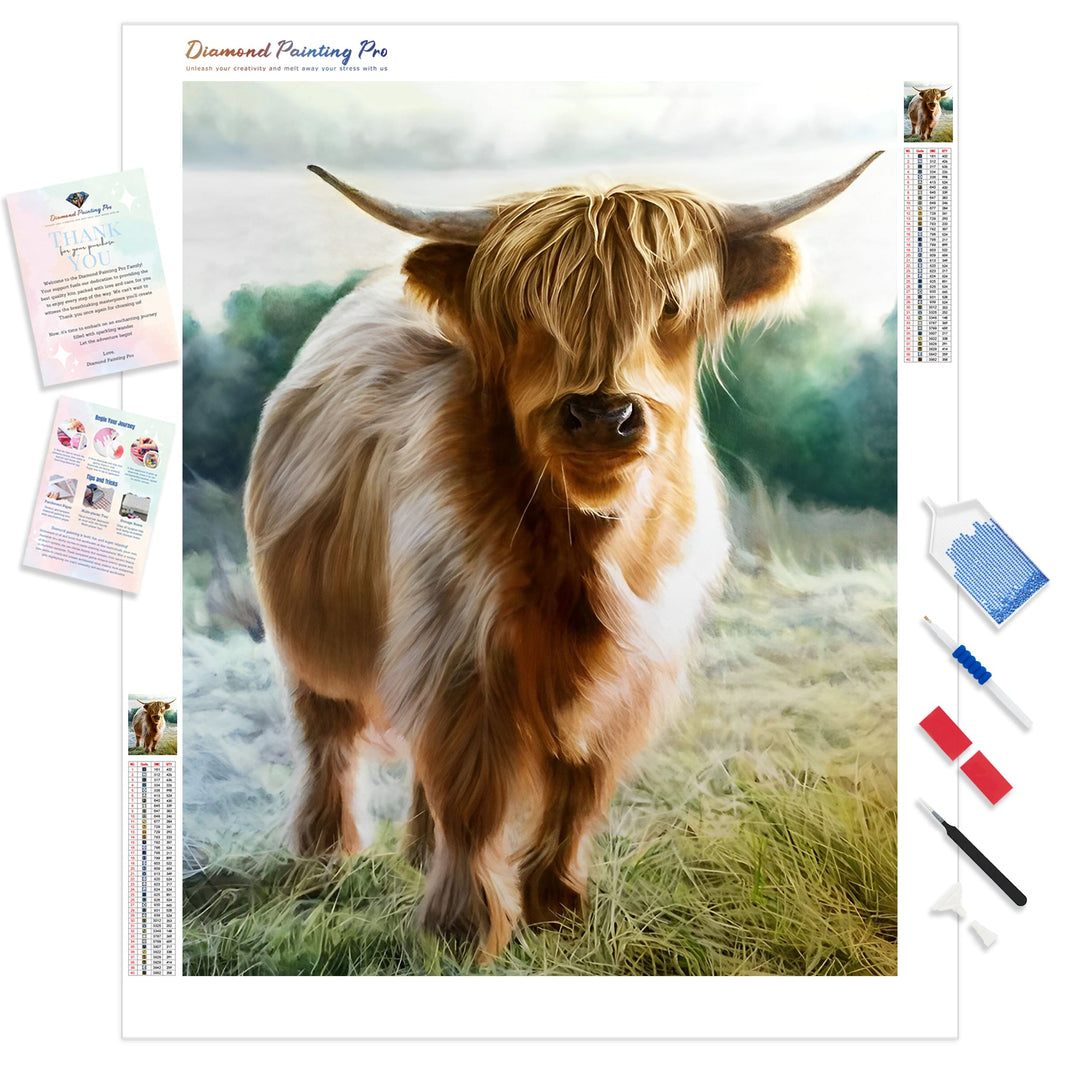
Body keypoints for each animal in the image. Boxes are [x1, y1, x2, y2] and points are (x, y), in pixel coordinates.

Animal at [244, 151, 882, 959]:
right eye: (524, 313)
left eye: (670, 306)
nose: (603, 415)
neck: (584, 550)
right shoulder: (462, 651)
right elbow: (474, 789)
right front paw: (463, 928)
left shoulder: (627, 671)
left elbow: (579, 787)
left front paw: (557, 906)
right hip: (314, 639)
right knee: (329, 734)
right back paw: (326, 850)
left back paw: (418, 850)